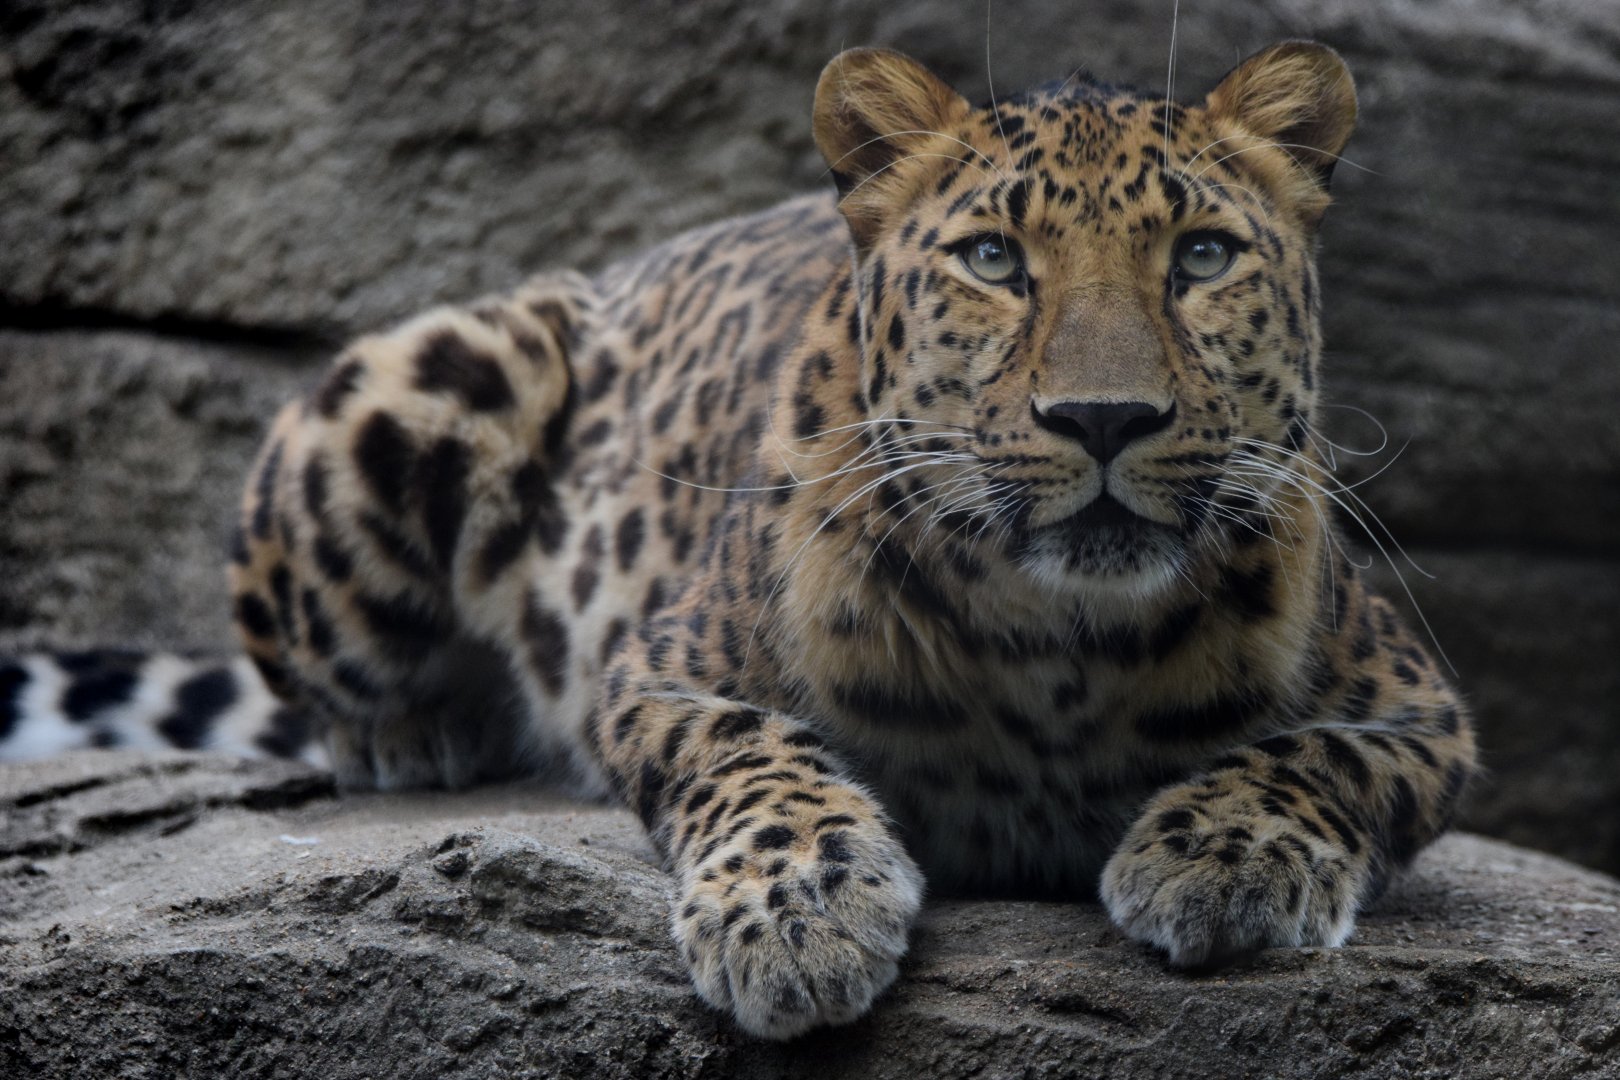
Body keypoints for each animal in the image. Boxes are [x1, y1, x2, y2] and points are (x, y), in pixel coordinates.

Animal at [0, 42, 1476, 1039]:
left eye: (1204, 257)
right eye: (995, 261)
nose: (1103, 419)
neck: (1064, 651)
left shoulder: (1422, 707)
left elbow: (1320, 757)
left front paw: (1224, 854)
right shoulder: (660, 671)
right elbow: (755, 757)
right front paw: (793, 915)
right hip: (418, 379)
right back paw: (422, 733)